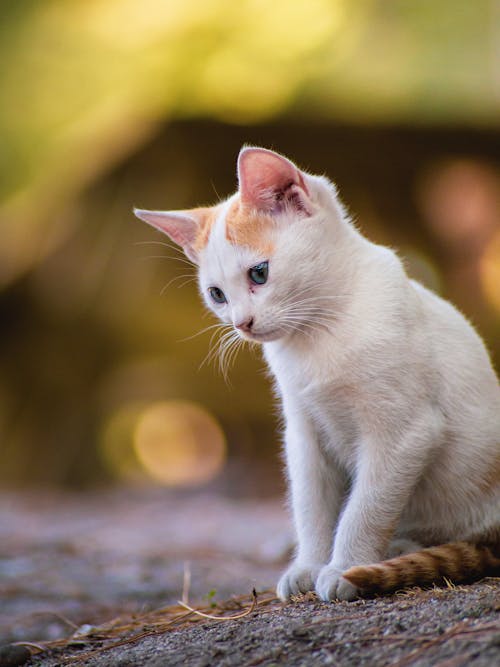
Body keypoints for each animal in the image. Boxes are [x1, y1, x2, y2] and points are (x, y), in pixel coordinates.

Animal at [134, 149, 500, 604]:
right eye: (216, 294)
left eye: (259, 274)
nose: (241, 324)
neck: (320, 333)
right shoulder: (304, 435)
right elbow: (311, 506)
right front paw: (309, 565)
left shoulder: (405, 433)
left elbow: (366, 507)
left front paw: (345, 567)